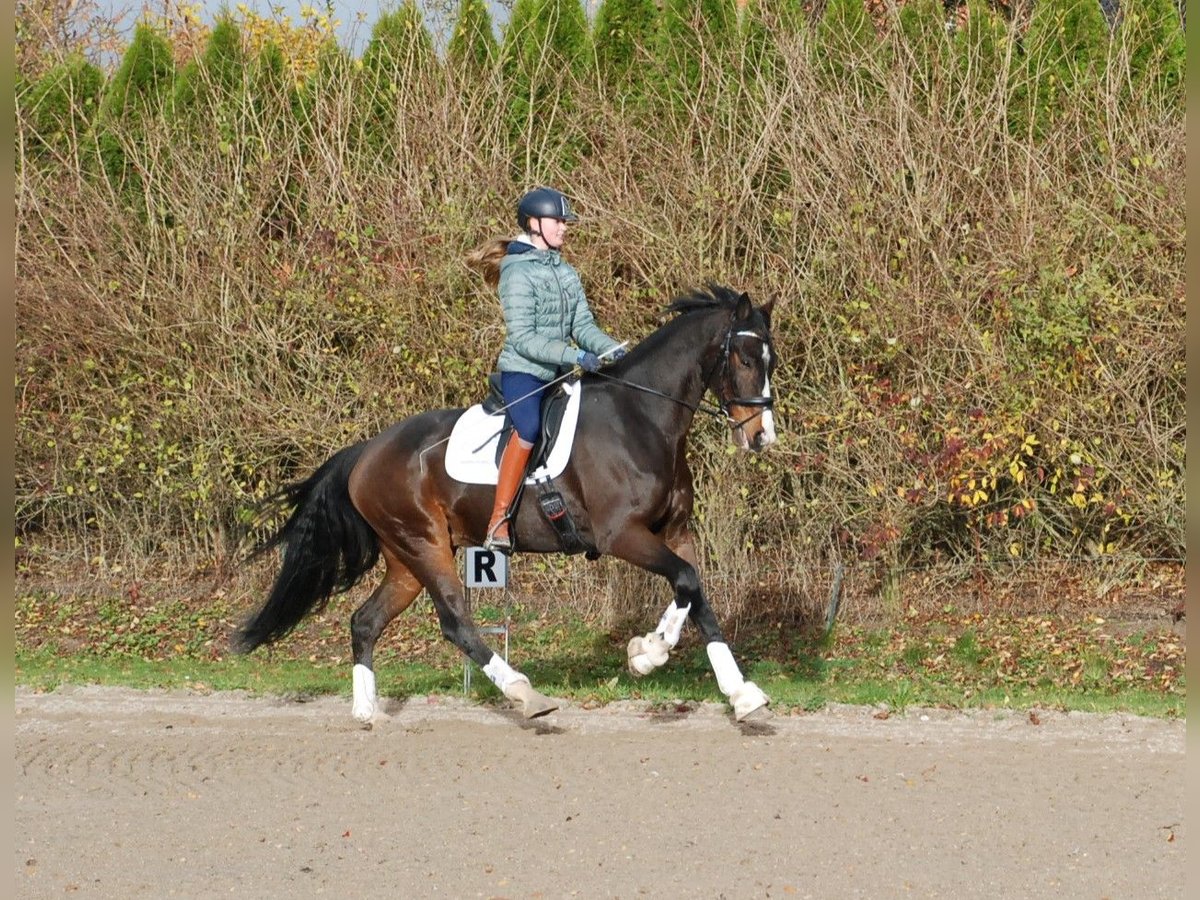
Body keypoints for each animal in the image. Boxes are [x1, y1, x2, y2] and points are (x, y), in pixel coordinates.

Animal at [234, 285, 777, 724]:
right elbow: (685, 583)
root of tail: (367, 451)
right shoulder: (621, 535)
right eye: (745, 359)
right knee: (455, 623)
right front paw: (649, 652)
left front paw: (740, 693)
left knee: (365, 622)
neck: (641, 417)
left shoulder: (675, 532)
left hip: (406, 559)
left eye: (771, 361)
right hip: (425, 546)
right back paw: (523, 693)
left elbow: (696, 593)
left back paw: (367, 712)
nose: (762, 436)